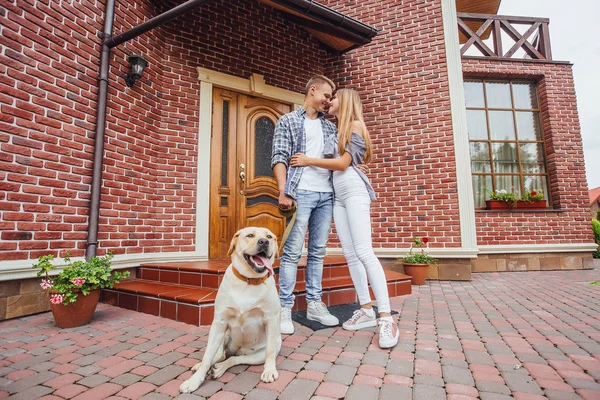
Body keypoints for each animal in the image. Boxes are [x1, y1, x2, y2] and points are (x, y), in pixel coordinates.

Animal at [179, 227, 282, 392]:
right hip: (224, 335)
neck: (249, 281)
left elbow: (270, 352)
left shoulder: (271, 320)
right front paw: (194, 380)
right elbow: (207, 356)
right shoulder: (219, 323)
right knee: (219, 355)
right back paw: (203, 365)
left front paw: (270, 370)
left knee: (235, 358)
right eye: (250, 235)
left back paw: (219, 368)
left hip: (257, 355)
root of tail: (238, 349)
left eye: (269, 236)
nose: (264, 242)